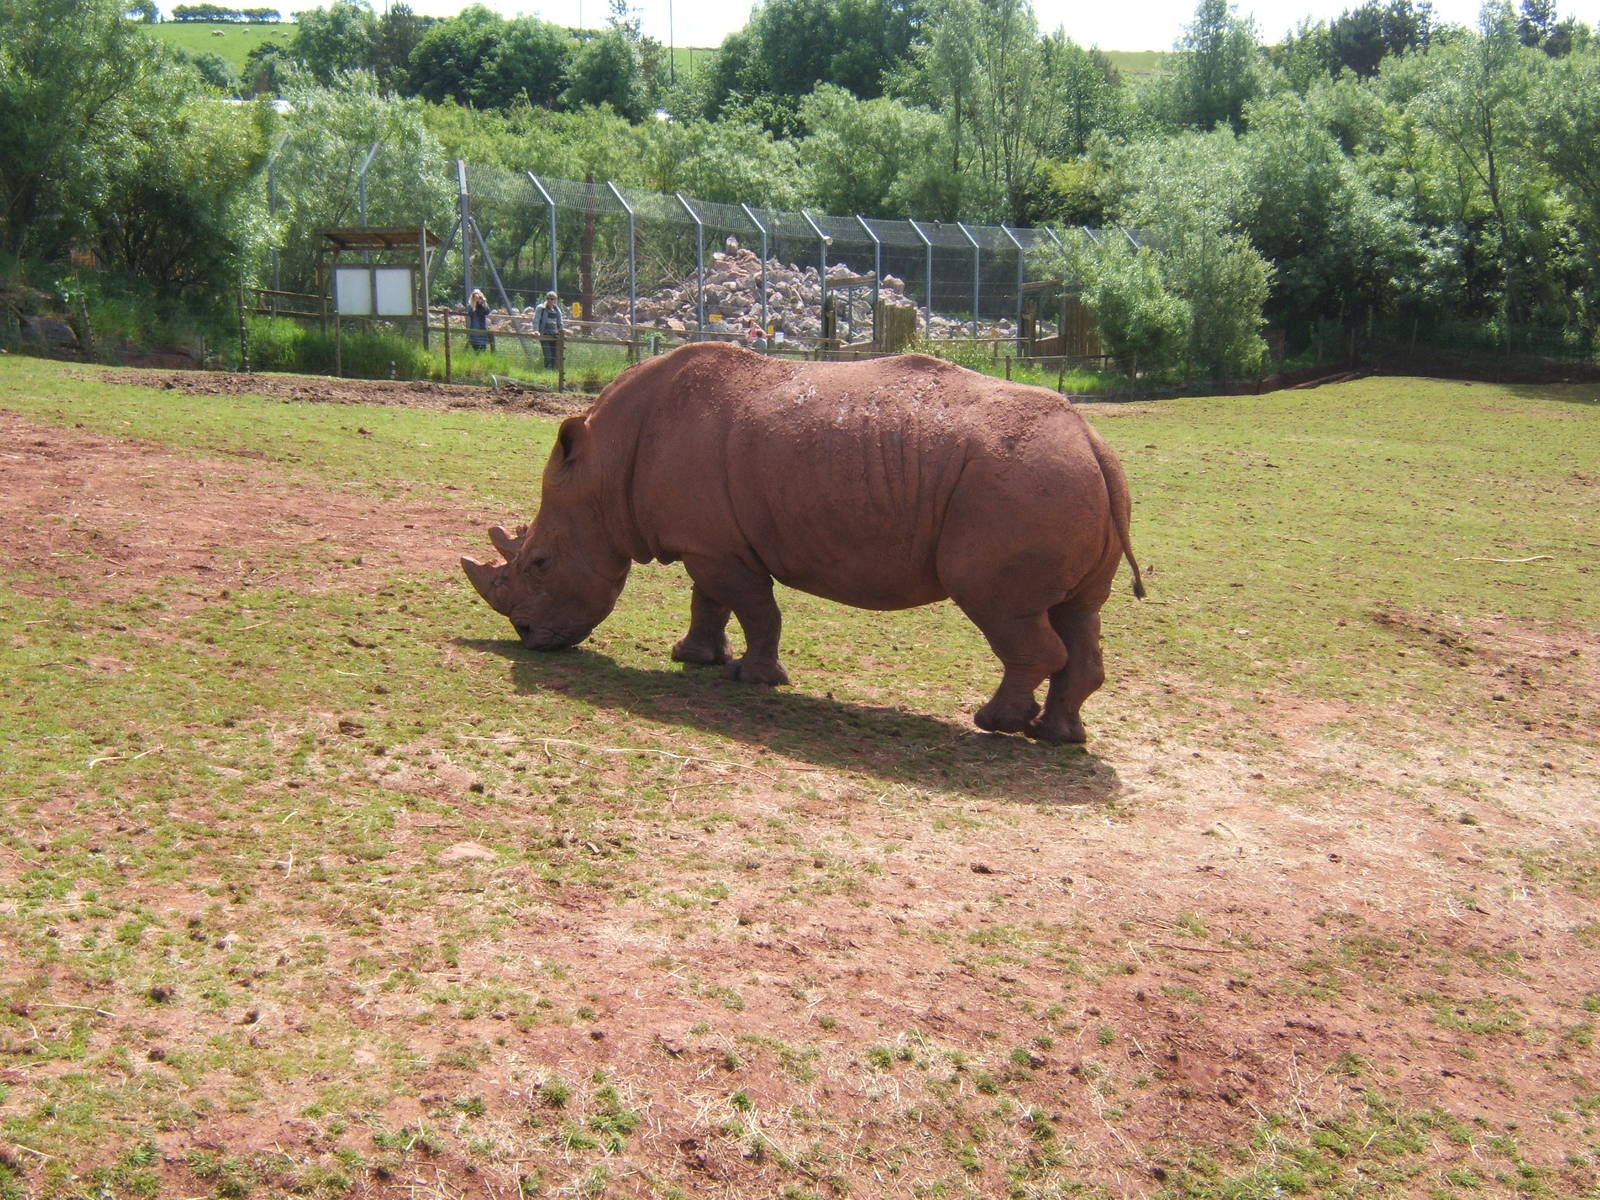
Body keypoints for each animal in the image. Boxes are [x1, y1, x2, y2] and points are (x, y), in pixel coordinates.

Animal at [463, 342, 1144, 743]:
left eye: (540, 562)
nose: (529, 638)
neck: (603, 470)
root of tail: (1091, 442)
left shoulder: (718, 548)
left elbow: (755, 607)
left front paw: (757, 679)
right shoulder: (708, 541)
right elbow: (708, 600)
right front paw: (694, 659)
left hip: (1020, 483)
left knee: (1007, 612)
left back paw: (993, 725)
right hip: (1068, 479)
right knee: (1080, 611)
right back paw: (1059, 736)